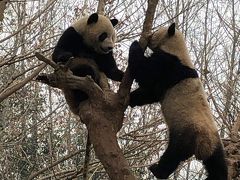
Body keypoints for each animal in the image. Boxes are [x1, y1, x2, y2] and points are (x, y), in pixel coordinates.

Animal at [128, 23, 228, 179]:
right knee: (218, 165)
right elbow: (151, 93)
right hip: (216, 145)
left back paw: (156, 170)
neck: (177, 49)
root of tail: (204, 145)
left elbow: (146, 74)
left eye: (156, 32)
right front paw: (131, 99)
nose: (150, 35)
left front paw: (135, 44)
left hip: (186, 131)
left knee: (172, 155)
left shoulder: (169, 66)